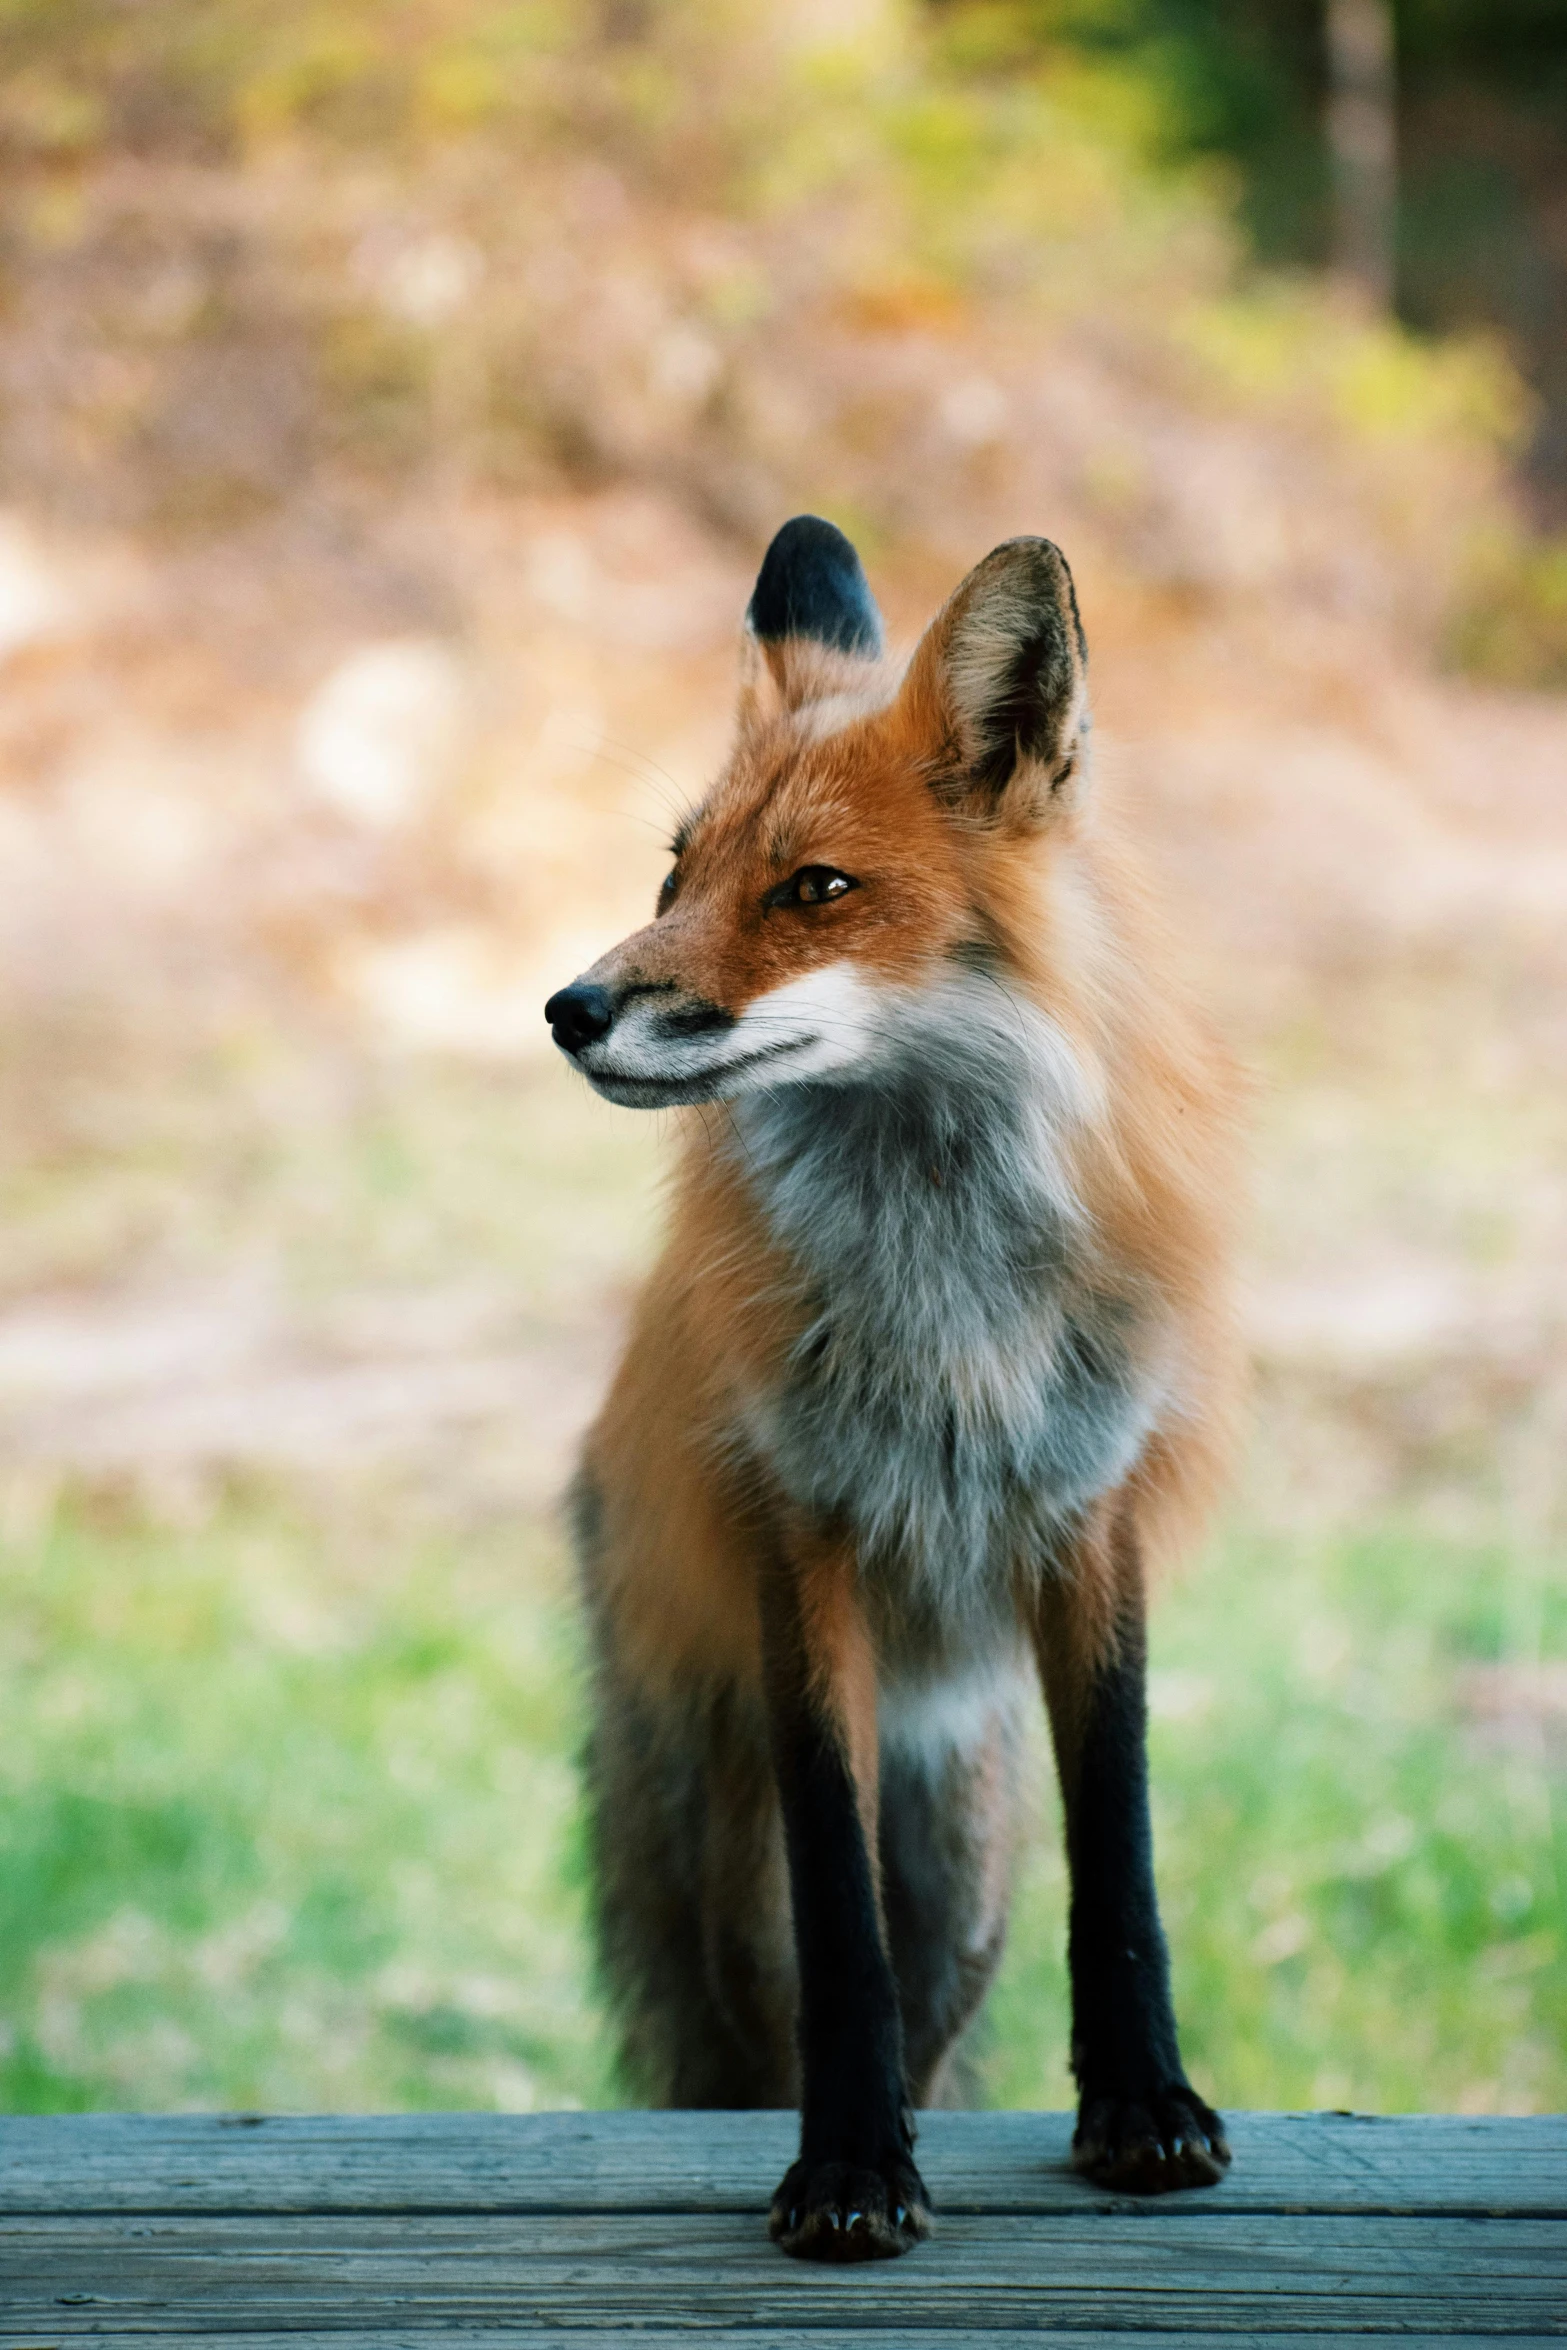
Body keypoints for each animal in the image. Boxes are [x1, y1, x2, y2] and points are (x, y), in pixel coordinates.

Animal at [545, 519, 1240, 2256]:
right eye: (672, 876)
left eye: (813, 890)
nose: (568, 1009)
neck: (943, 1315)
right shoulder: (799, 1537)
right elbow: (835, 1926)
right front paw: (850, 2167)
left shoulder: (1085, 1516)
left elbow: (1121, 1861)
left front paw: (1142, 2106)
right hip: (726, 1887)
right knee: (751, 2035)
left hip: (969, 1876)